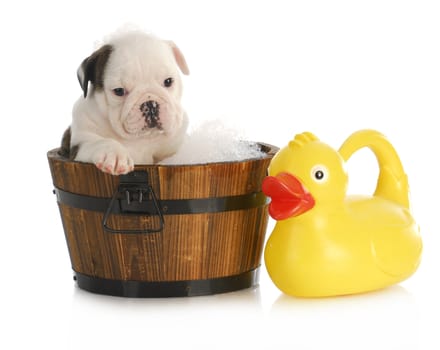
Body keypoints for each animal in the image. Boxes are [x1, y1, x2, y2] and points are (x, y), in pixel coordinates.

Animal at [61, 29, 189, 174]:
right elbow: (99, 142)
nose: (150, 104)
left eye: (168, 81)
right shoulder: (80, 144)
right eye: (119, 91)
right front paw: (114, 154)